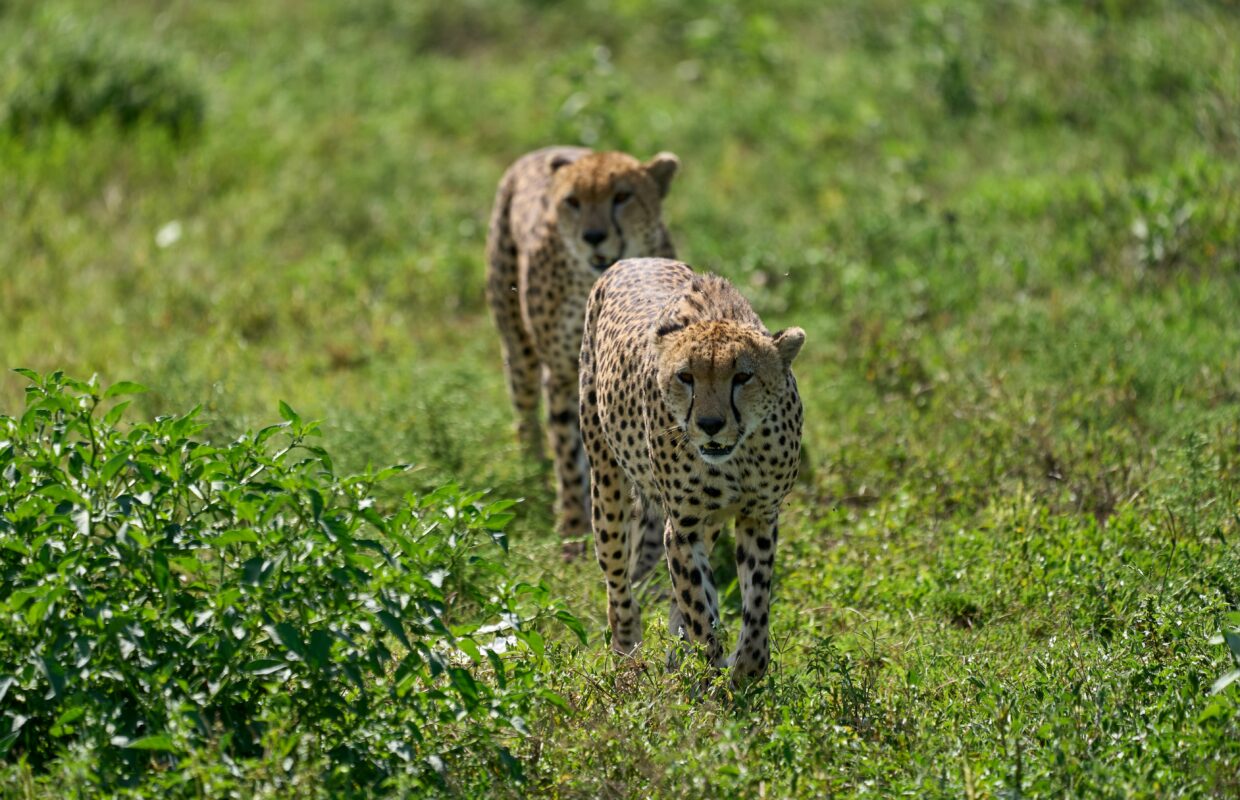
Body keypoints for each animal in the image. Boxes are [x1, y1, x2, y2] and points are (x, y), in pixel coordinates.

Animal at [485, 146, 679, 553]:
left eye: (622, 197)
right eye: (572, 201)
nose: (593, 236)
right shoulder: (562, 375)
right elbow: (565, 450)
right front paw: (573, 528)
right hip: (520, 350)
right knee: (526, 418)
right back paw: (534, 474)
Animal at [579, 257, 805, 681]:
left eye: (742, 376)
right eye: (686, 377)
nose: (710, 424)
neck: (737, 456)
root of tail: (633, 259)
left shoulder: (759, 515)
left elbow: (754, 607)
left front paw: (742, 670)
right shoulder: (683, 527)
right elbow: (698, 607)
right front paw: (710, 672)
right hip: (606, 485)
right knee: (618, 582)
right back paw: (627, 653)